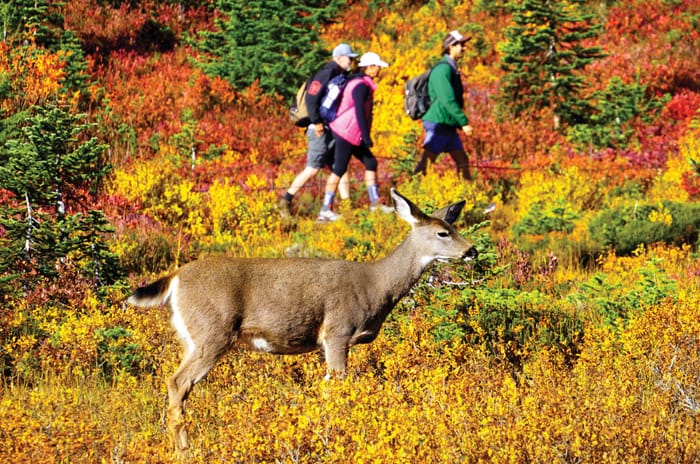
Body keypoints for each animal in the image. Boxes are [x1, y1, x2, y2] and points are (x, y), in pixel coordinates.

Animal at [127, 188, 477, 451]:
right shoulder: (337, 331)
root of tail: (175, 278)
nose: (472, 250)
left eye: (456, 228)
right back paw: (185, 449)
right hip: (212, 332)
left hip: (192, 336)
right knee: (178, 382)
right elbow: (336, 386)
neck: (376, 287)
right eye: (443, 232)